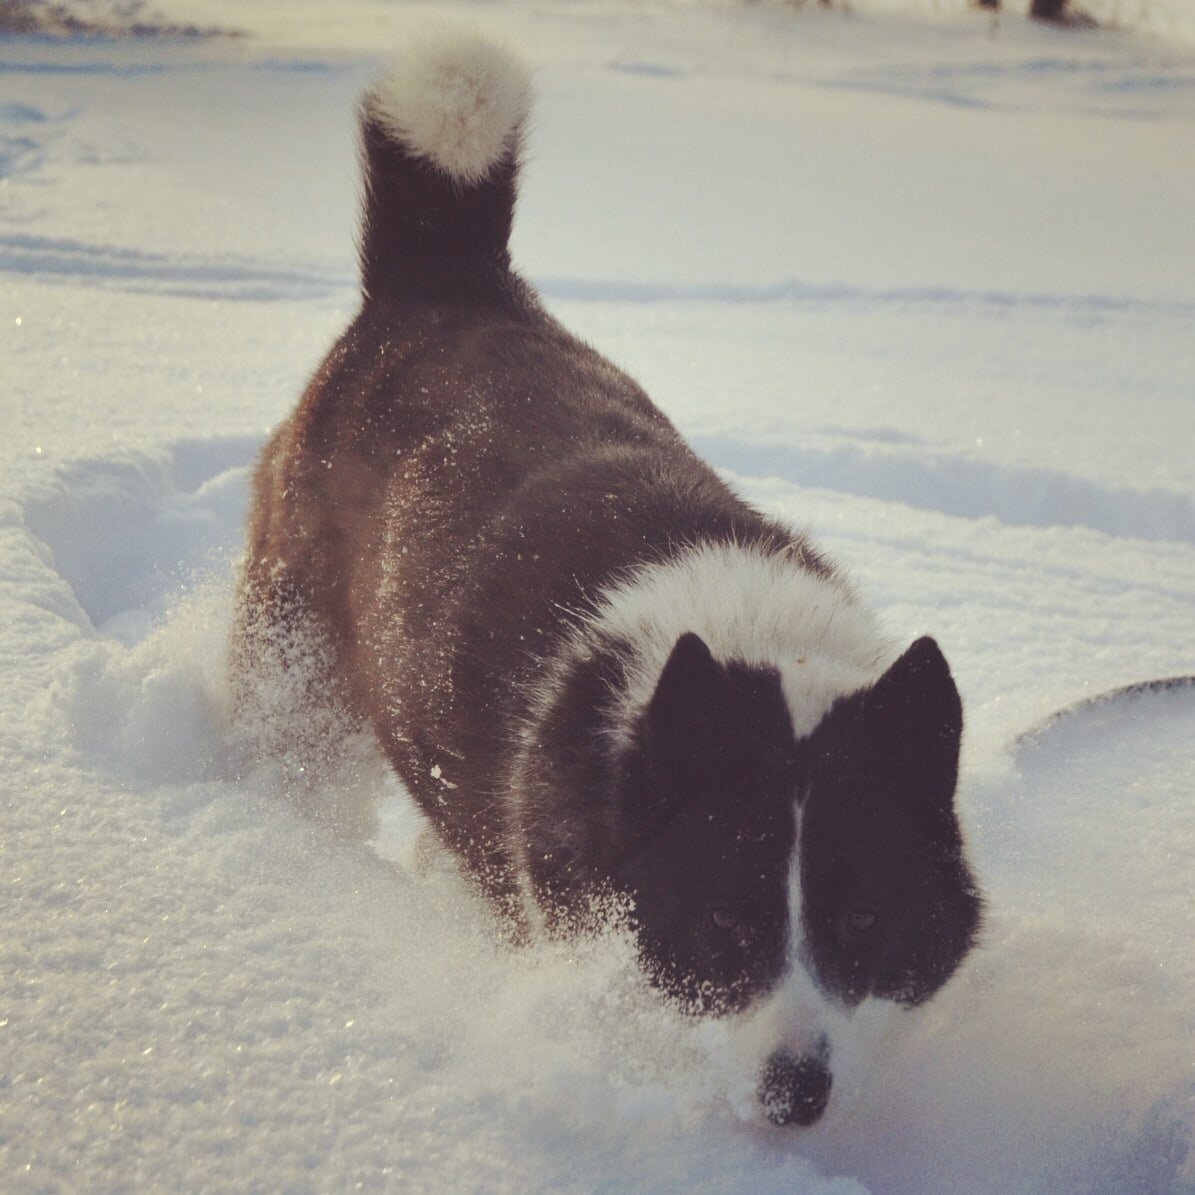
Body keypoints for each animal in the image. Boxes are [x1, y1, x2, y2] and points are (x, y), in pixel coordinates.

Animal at [230, 30, 979, 1128]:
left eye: (863, 920)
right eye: (724, 923)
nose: (796, 1093)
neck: (754, 651)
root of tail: (447, 281)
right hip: (298, 666)